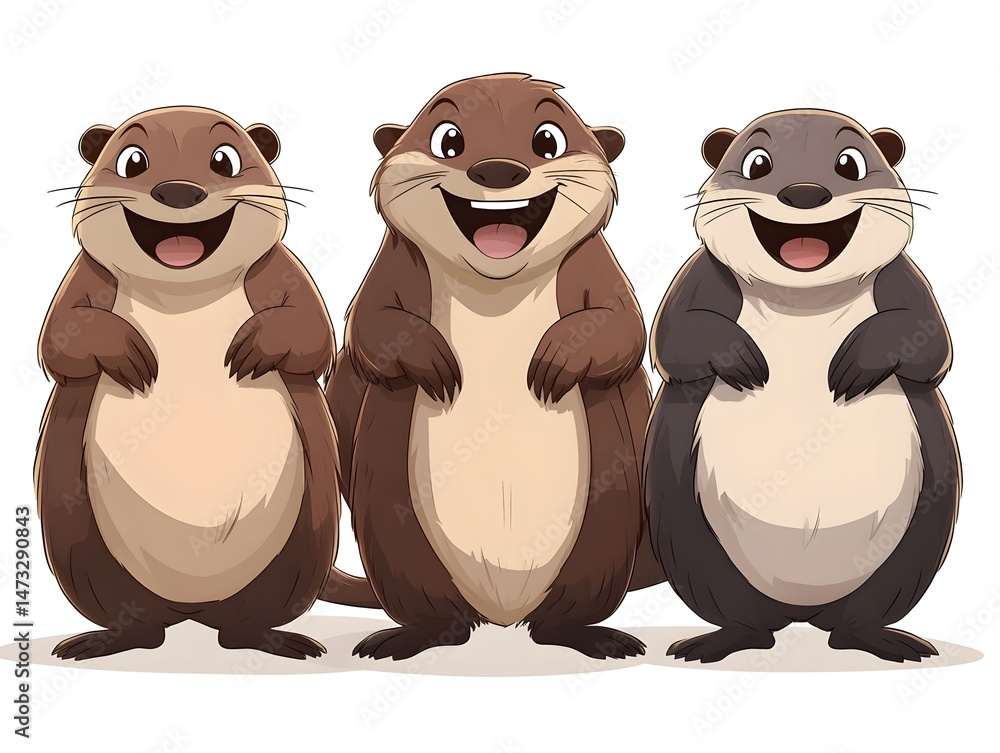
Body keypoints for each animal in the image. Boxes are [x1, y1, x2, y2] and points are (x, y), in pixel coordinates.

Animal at [35, 106, 375, 660]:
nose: (178, 191)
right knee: (128, 614)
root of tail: (191, 609)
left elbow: (312, 332)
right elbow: (61, 337)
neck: (183, 290)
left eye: (224, 159)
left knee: (253, 616)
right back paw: (103, 640)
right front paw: (130, 357)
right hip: (77, 539)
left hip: (305, 543)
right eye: (132, 161)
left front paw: (253, 349)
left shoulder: (280, 269)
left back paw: (277, 640)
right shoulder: (86, 277)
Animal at [323, 74, 661, 660]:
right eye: (448, 140)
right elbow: (370, 327)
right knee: (434, 610)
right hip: (396, 536)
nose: (499, 170)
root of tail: (502, 615)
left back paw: (595, 637)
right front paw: (433, 362)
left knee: (566, 613)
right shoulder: (394, 267)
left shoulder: (596, 267)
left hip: (603, 537)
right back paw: (408, 636)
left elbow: (622, 328)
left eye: (547, 139)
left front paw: (555, 361)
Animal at [645, 109, 960, 662]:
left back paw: (882, 639)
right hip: (683, 525)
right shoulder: (702, 277)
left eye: (850, 163)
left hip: (920, 534)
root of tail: (801, 611)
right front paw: (743, 361)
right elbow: (675, 337)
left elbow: (928, 343)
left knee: (873, 605)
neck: (805, 294)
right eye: (757, 163)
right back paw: (719, 640)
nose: (806, 193)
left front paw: (854, 366)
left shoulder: (903, 281)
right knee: (730, 603)